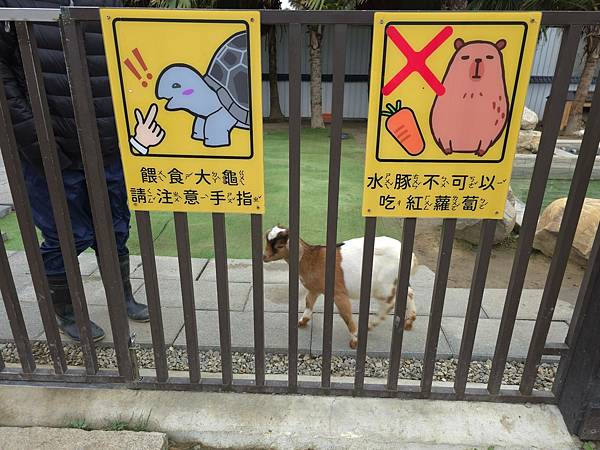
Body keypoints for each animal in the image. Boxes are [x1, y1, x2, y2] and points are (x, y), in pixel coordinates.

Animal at [262, 227, 418, 350]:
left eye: (280, 245)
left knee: (389, 303)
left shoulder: (339, 293)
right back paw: (409, 321)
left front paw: (354, 340)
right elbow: (308, 301)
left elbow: (346, 315)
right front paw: (302, 321)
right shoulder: (315, 288)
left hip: (382, 285)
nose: (264, 257)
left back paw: (370, 325)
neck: (311, 258)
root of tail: (413, 258)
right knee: (409, 293)